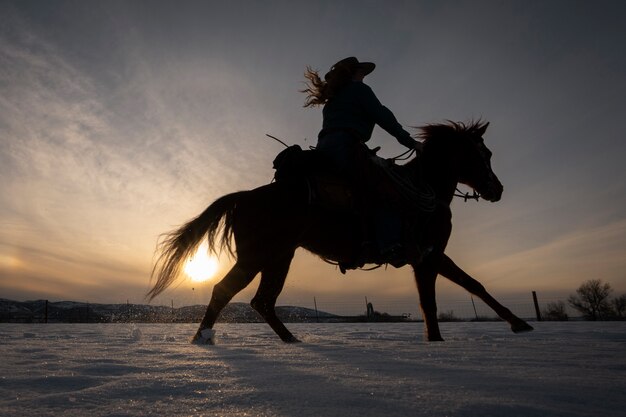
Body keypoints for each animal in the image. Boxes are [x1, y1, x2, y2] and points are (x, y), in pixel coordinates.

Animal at [147, 120, 532, 342]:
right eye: (484, 154)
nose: (497, 189)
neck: (426, 191)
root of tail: (245, 196)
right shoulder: (428, 257)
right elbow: (447, 296)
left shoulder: (430, 257)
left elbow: (459, 291)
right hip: (259, 256)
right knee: (226, 290)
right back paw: (203, 337)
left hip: (278, 258)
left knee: (261, 301)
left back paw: (289, 340)